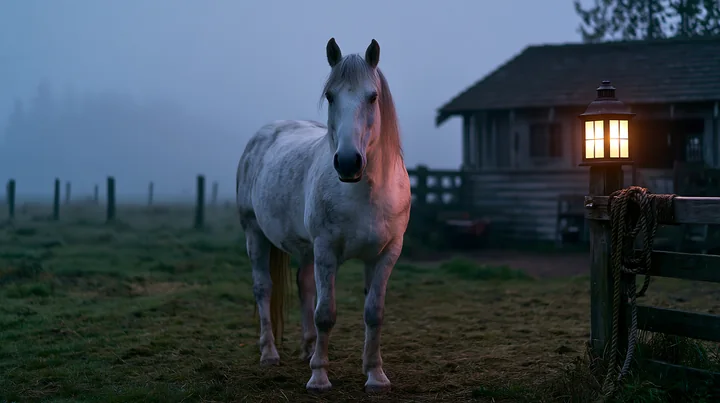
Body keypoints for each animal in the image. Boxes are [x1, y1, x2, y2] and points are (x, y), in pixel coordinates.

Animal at [235, 37, 411, 393]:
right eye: (330, 96)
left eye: (372, 96)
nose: (347, 162)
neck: (365, 193)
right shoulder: (326, 250)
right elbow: (325, 313)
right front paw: (319, 377)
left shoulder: (386, 253)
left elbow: (374, 312)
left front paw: (375, 375)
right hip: (255, 234)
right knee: (263, 288)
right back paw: (269, 353)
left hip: (306, 249)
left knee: (304, 285)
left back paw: (307, 348)